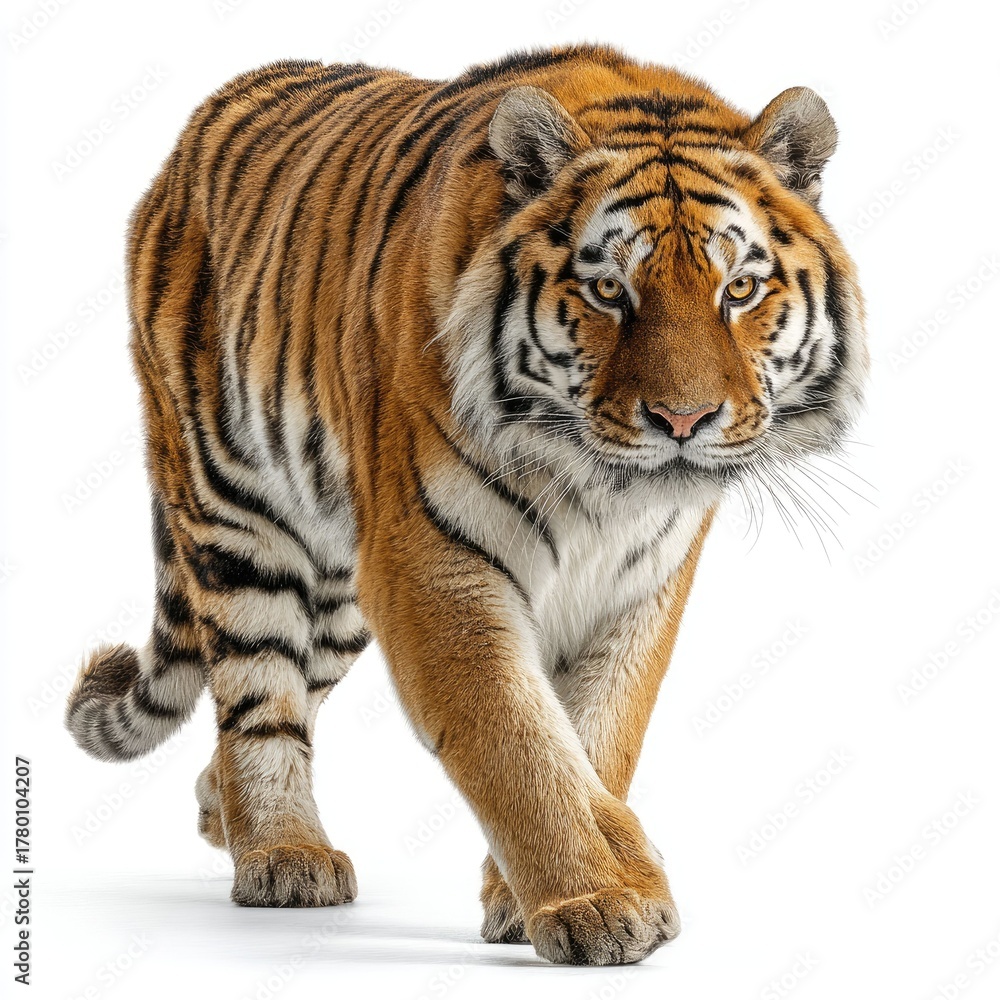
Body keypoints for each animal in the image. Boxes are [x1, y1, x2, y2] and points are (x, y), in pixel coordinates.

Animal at [65, 43, 868, 966]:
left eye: (738, 290)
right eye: (608, 292)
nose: (682, 420)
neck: (599, 492)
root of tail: (192, 134)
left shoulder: (640, 585)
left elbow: (598, 738)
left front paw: (546, 894)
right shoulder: (436, 567)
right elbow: (515, 740)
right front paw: (596, 901)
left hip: (345, 583)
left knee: (289, 693)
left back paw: (218, 812)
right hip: (240, 522)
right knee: (259, 702)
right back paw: (281, 853)